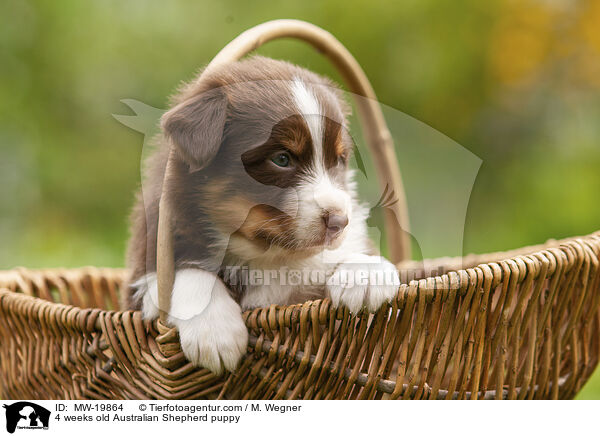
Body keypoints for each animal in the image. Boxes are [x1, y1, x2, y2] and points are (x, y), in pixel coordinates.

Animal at [125, 54, 400, 374]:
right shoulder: (144, 271)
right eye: (281, 159)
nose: (339, 222)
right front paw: (215, 331)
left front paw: (365, 274)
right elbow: (185, 271)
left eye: (339, 160)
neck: (269, 257)